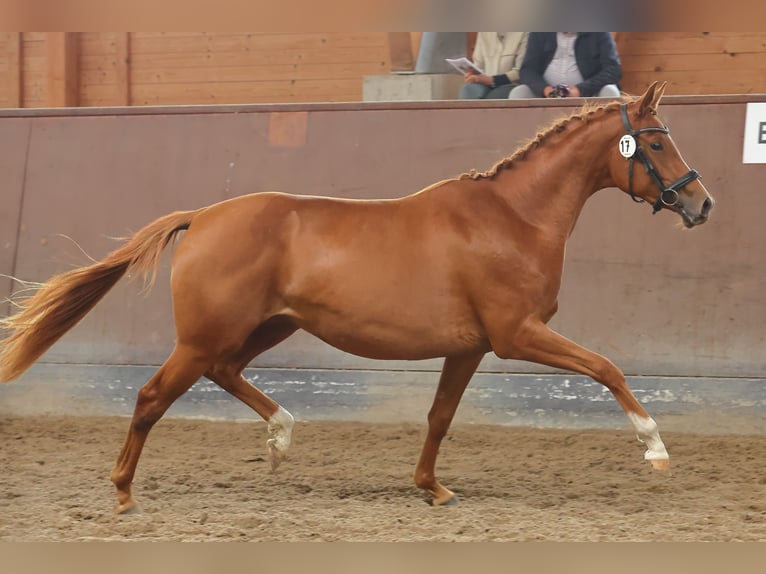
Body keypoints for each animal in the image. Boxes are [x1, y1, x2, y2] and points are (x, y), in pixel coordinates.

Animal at [3, 82, 716, 512]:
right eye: (656, 140)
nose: (701, 204)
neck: (512, 218)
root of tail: (202, 216)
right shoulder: (518, 336)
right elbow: (606, 368)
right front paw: (655, 449)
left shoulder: (472, 347)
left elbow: (440, 418)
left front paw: (433, 489)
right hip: (207, 334)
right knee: (153, 396)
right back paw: (124, 492)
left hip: (269, 327)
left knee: (224, 372)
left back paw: (281, 436)